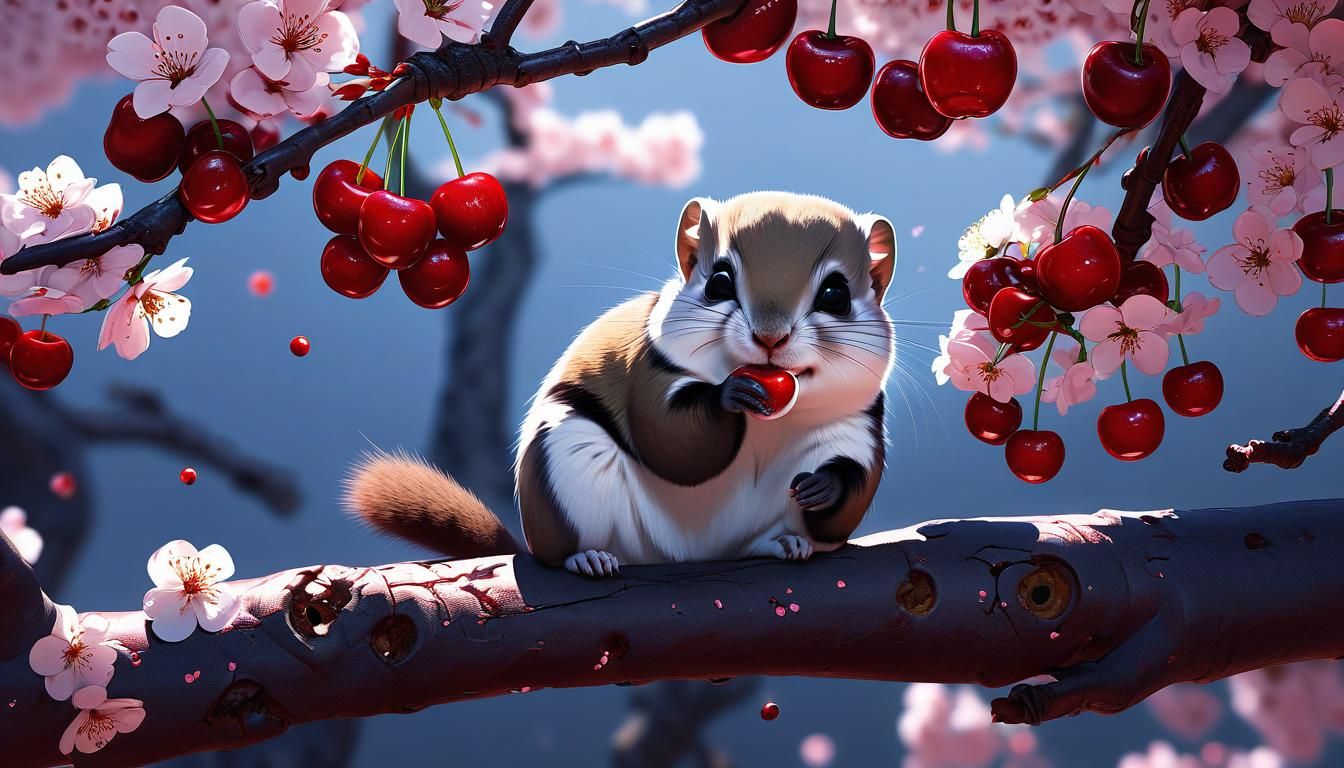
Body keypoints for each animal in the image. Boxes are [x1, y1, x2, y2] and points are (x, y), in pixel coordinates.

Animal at [346, 191, 897, 578]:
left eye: (835, 294)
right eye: (719, 282)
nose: (770, 337)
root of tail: (683, 555)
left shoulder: (857, 425)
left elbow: (858, 486)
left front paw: (824, 486)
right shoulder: (647, 373)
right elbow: (671, 440)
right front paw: (730, 395)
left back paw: (783, 543)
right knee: (561, 550)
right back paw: (589, 558)